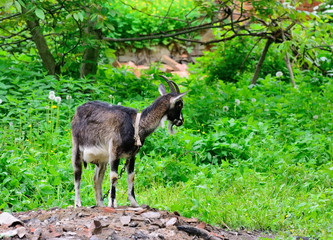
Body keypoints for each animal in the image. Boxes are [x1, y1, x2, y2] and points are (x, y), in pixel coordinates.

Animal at [71, 77, 185, 208]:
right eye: (179, 104)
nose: (181, 121)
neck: (135, 124)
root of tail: (77, 110)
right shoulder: (114, 151)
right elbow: (114, 177)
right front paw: (113, 203)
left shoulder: (132, 155)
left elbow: (131, 177)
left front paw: (134, 202)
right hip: (77, 148)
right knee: (77, 175)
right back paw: (78, 204)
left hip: (102, 159)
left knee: (97, 179)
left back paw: (100, 204)